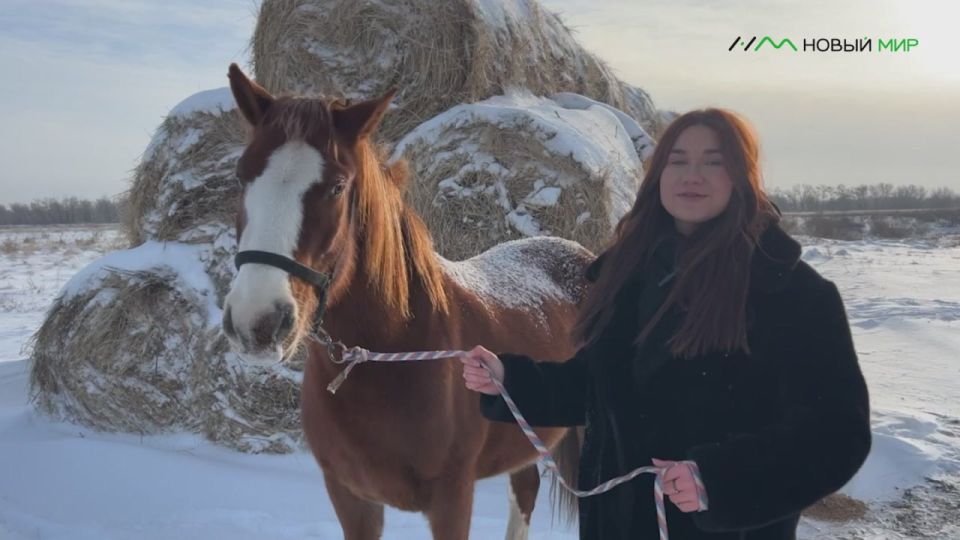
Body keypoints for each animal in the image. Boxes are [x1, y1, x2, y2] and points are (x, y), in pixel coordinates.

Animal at [221, 63, 592, 540]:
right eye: (241, 175)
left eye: (337, 187)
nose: (257, 322)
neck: (391, 354)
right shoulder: (351, 498)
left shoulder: (452, 500)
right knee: (525, 487)